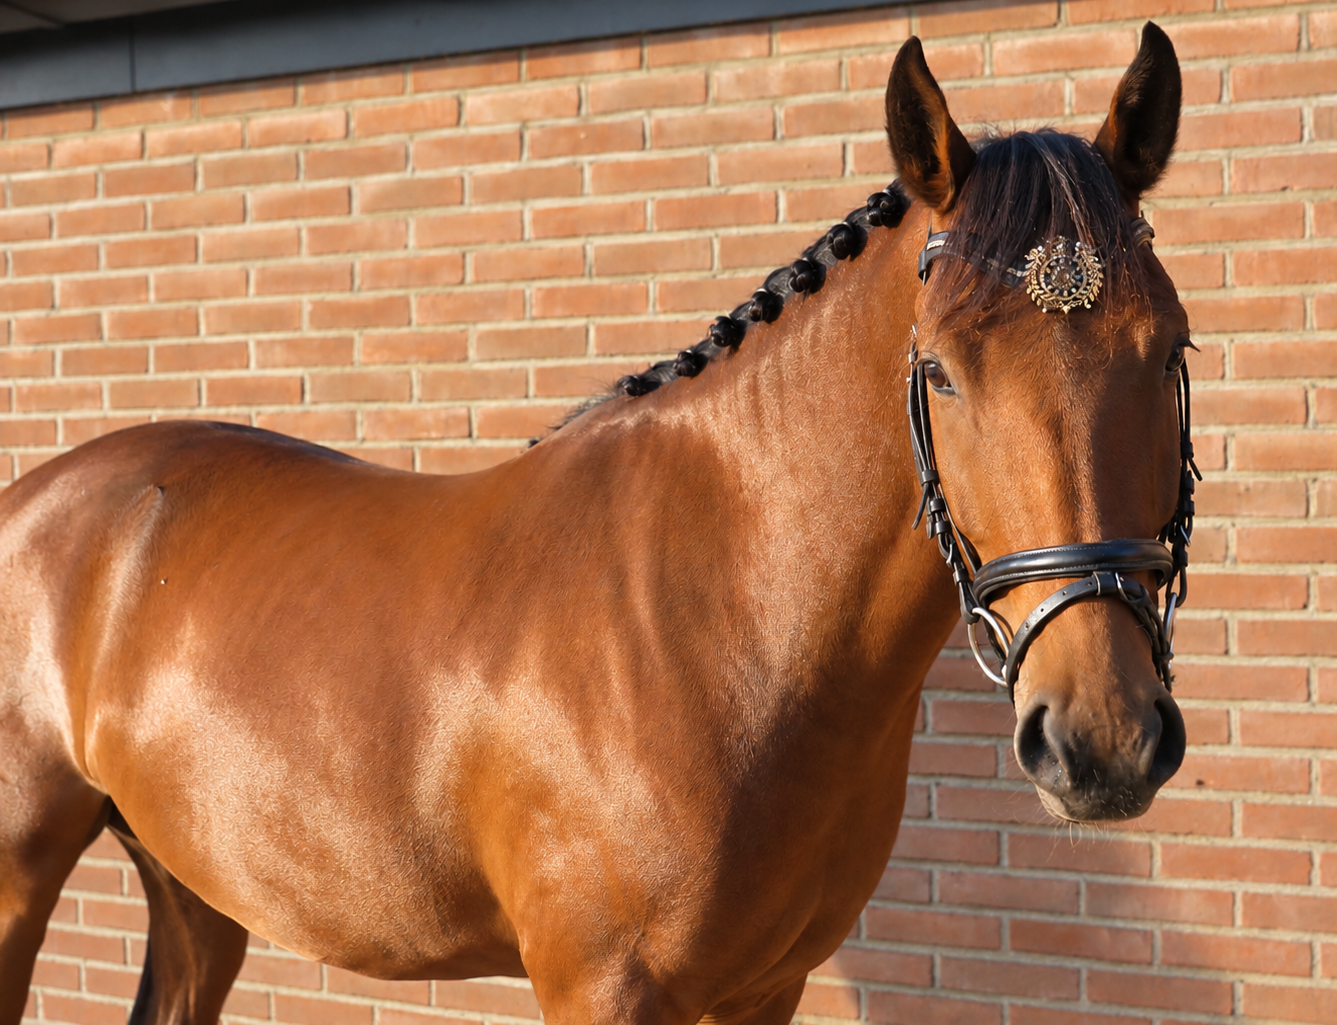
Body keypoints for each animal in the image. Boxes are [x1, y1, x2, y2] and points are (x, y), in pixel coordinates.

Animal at [2, 24, 1190, 1025]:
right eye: (939, 370)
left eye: (1170, 348)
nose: (1100, 740)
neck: (721, 622)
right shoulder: (602, 988)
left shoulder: (767, 986)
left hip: (194, 884)